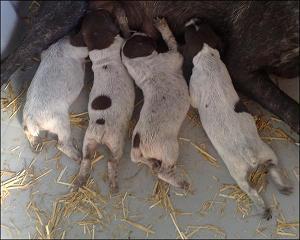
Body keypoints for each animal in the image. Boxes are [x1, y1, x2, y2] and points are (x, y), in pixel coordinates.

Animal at [22, 32, 88, 163]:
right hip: (60, 120)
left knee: (26, 130)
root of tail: (33, 119)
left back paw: (36, 146)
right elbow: (86, 51)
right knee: (61, 144)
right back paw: (78, 157)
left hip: (25, 118)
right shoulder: (79, 50)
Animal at [75, 9, 135, 193]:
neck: (99, 40)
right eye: (105, 14)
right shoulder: (122, 40)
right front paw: (121, 16)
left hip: (88, 140)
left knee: (86, 159)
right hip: (116, 144)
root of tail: (101, 128)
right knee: (111, 162)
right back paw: (113, 185)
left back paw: (80, 180)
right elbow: (126, 31)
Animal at [120, 18, 189, 189]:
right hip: (170, 149)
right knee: (163, 173)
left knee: (141, 160)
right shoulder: (174, 55)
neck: (141, 64)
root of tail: (138, 143)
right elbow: (171, 40)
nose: (139, 30)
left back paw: (152, 163)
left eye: (136, 34)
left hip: (142, 154)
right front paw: (162, 26)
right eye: (141, 39)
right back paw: (180, 182)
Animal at [183, 17, 292, 218]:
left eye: (188, 32)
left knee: (251, 190)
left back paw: (263, 209)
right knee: (273, 167)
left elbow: (192, 100)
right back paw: (283, 188)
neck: (208, 58)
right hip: (267, 152)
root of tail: (249, 154)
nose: (193, 18)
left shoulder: (193, 92)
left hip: (238, 172)